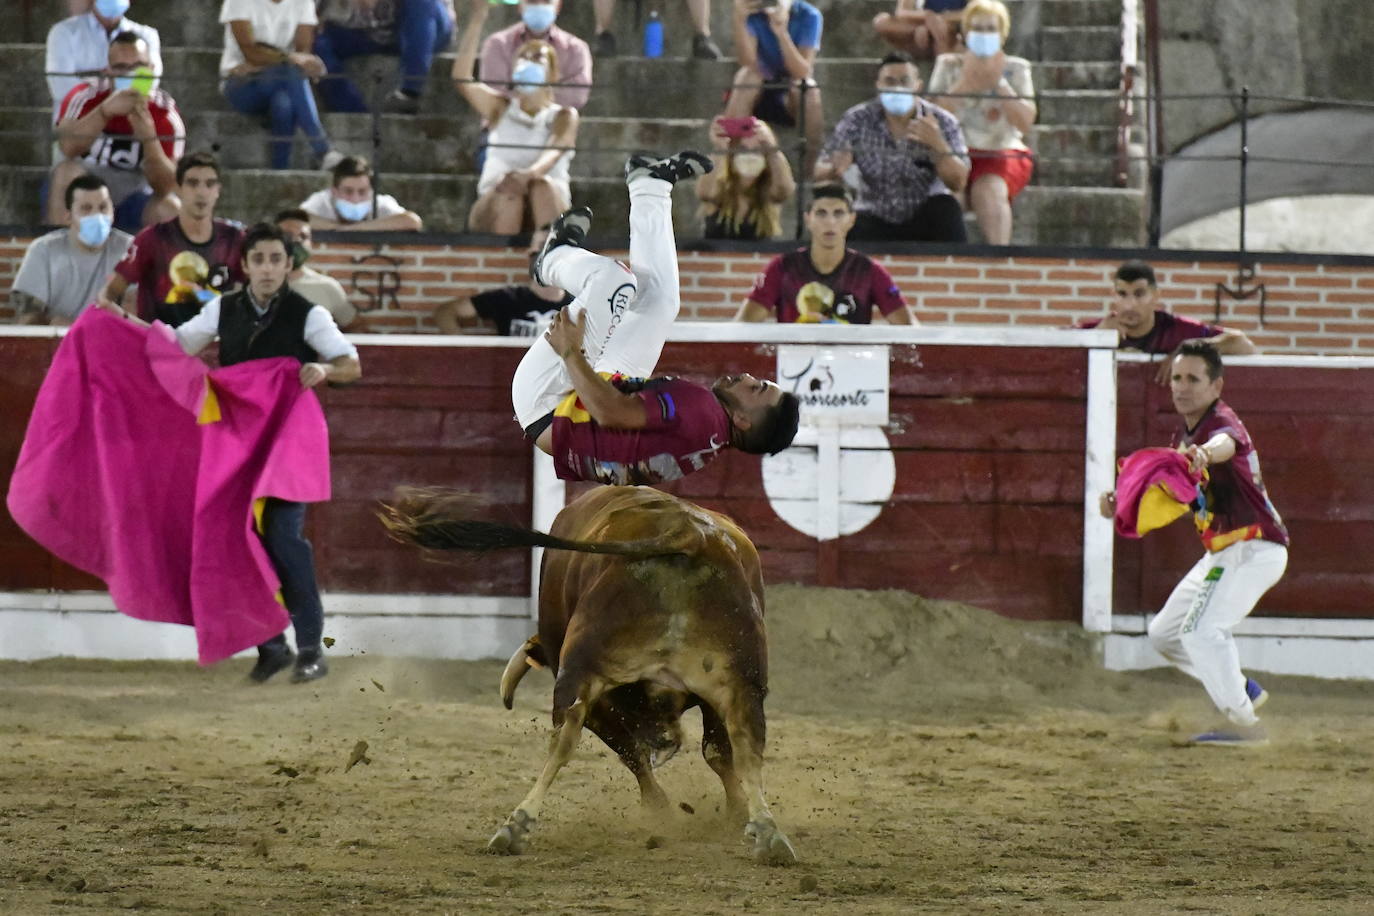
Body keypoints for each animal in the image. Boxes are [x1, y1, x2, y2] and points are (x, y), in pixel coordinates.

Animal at [381, 486, 802, 867]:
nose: (663, 741)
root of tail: (685, 531)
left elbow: (635, 752)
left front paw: (671, 808)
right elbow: (710, 753)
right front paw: (726, 811)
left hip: (582, 670)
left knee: (566, 739)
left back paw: (514, 828)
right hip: (740, 681)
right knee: (745, 746)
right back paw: (769, 836)